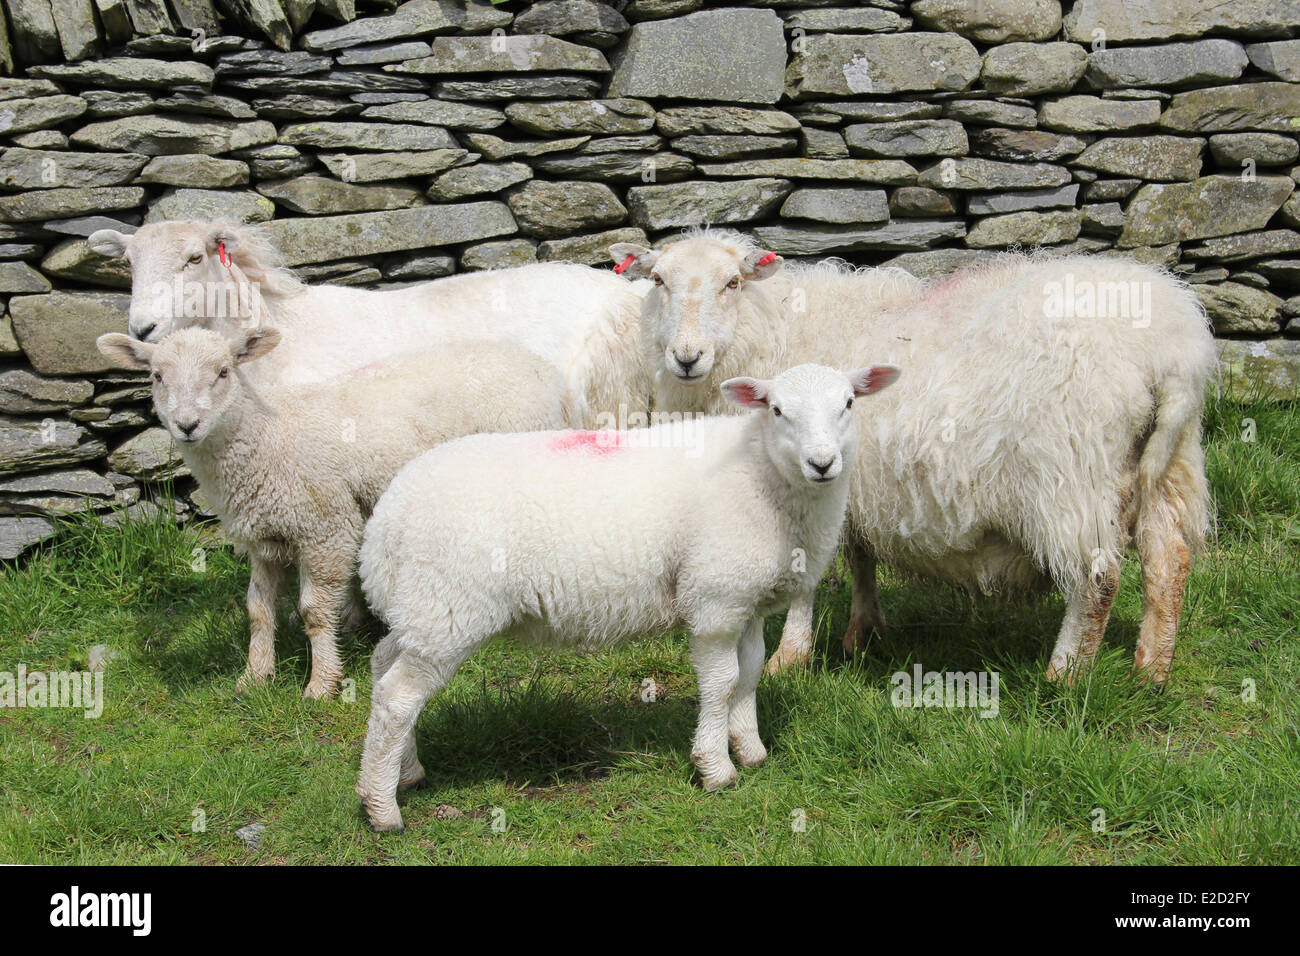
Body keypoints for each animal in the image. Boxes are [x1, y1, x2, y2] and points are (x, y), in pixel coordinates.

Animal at [94, 327, 572, 697]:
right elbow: (258, 610)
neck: (267, 435)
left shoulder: (322, 527)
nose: (187, 426)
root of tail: (541, 366)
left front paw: (321, 682)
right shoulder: (264, 538)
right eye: (157, 376)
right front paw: (254, 677)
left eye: (223, 371)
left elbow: (313, 612)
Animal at [356, 358, 904, 832]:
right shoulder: (715, 600)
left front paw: (750, 750)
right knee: (396, 699)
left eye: (849, 403)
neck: (762, 472)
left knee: (383, 665)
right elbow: (722, 682)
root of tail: (388, 518)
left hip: (420, 607)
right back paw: (382, 808)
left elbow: (749, 673)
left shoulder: (746, 601)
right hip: (449, 607)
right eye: (776, 410)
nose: (823, 463)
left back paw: (406, 773)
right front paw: (715, 768)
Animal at [611, 230, 1216, 686]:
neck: (771, 329)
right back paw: (1151, 671)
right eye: (658, 281)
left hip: (1071, 475)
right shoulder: (849, 481)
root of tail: (1171, 349)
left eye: (732, 283)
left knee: (1098, 579)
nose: (686, 357)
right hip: (1169, 466)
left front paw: (791, 657)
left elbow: (807, 579)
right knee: (1170, 561)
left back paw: (1064, 676)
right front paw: (862, 633)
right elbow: (860, 557)